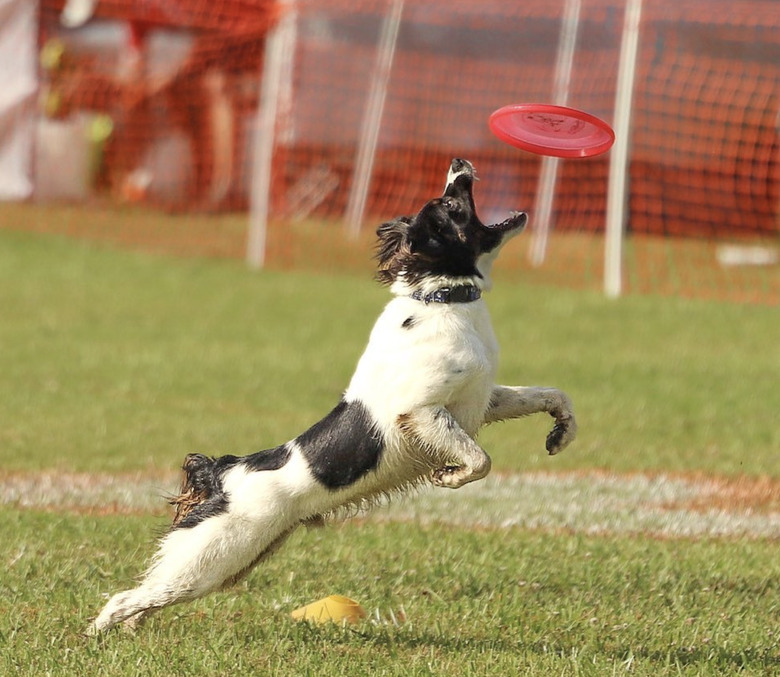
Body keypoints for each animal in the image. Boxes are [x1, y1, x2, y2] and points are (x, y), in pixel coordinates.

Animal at [91, 158, 576, 632]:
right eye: (451, 205)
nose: (459, 162)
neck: (442, 299)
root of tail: (223, 472)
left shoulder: (482, 399)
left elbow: (553, 395)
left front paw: (561, 434)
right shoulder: (420, 412)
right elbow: (480, 459)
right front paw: (449, 476)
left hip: (232, 561)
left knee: (148, 596)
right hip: (214, 557)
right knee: (125, 597)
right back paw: (97, 637)